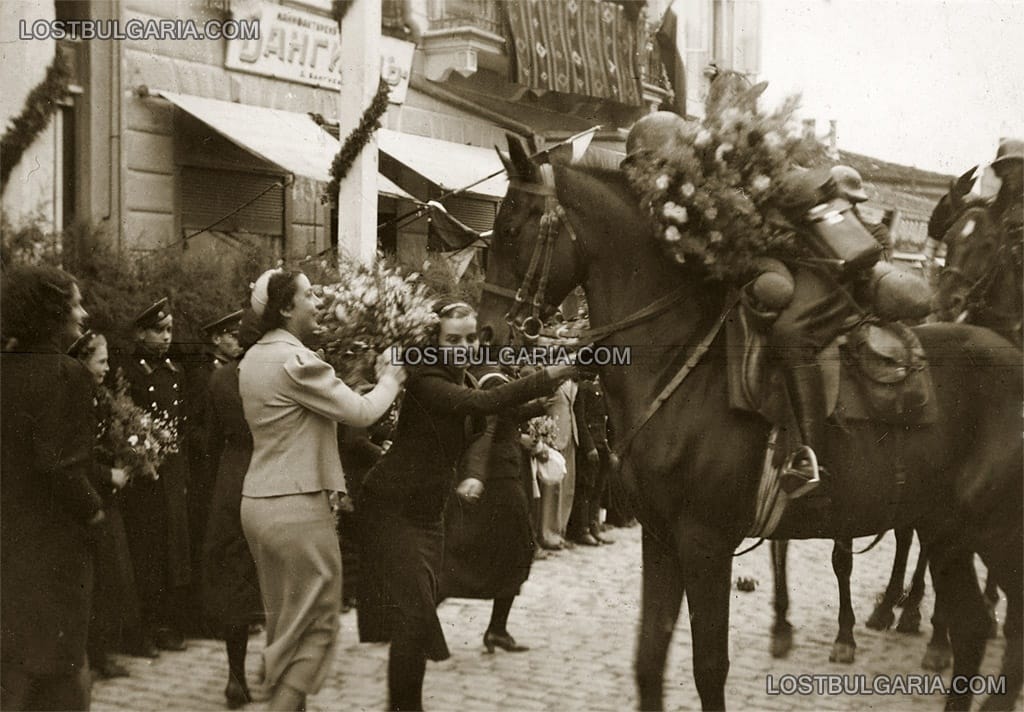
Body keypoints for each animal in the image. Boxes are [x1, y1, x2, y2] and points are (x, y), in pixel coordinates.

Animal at [479, 136, 1024, 708]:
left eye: (511, 230)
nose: (488, 334)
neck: (679, 362)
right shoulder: (661, 537)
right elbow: (649, 661)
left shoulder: (706, 541)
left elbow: (708, 666)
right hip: (947, 532)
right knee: (973, 628)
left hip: (994, 530)